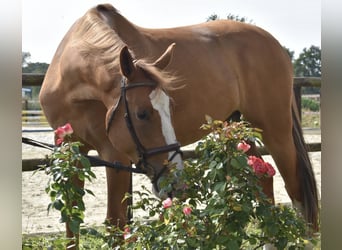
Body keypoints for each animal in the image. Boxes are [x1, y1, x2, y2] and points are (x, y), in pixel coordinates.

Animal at [39, 3, 318, 238]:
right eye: (142, 113)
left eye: (169, 108)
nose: (176, 182)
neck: (72, 81)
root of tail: (275, 44)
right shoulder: (69, 151)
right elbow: (72, 220)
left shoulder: (115, 155)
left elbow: (115, 223)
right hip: (236, 128)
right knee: (264, 180)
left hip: (274, 129)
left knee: (296, 188)